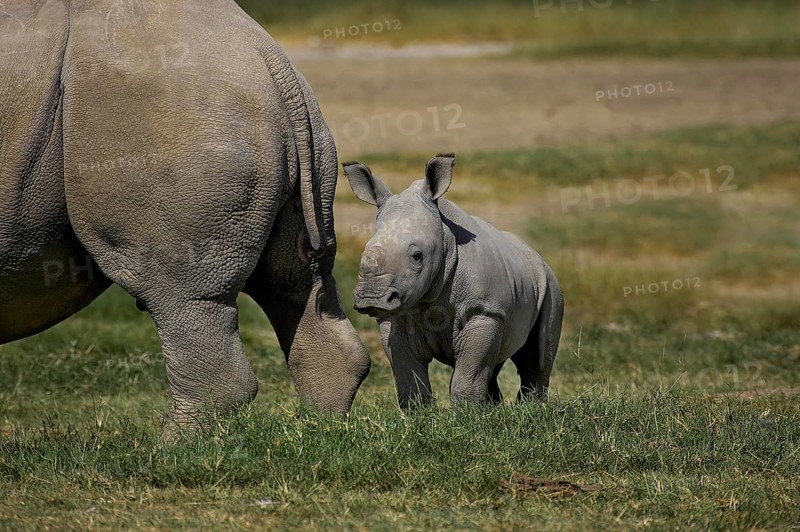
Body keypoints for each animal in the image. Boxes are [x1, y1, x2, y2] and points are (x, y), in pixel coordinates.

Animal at [0, 0, 371, 431]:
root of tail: (268, 56)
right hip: (277, 118)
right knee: (295, 279)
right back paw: (322, 430)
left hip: (171, 116)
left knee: (179, 293)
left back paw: (168, 447)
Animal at [343, 155, 564, 408]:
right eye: (364, 251)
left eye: (417, 256)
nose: (371, 298)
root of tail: (537, 255)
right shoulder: (396, 316)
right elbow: (409, 373)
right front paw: (419, 412)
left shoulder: (484, 311)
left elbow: (469, 371)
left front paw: (467, 412)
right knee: (495, 363)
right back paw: (495, 407)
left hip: (551, 285)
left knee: (537, 357)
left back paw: (532, 407)